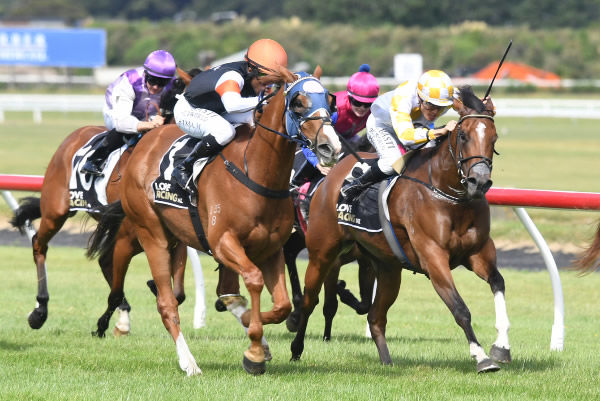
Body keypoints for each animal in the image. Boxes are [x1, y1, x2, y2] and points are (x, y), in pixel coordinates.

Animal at [9, 68, 192, 332]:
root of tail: (71, 137)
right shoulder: (134, 233)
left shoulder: (174, 237)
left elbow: (178, 293)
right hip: (56, 211)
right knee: (39, 245)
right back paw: (39, 310)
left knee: (105, 262)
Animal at [88, 67, 342, 374]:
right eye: (298, 103)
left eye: (330, 101)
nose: (330, 146)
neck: (256, 173)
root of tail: (143, 145)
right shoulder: (223, 242)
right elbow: (253, 279)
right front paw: (253, 347)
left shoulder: (271, 249)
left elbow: (281, 305)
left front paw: (252, 328)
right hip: (151, 234)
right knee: (165, 302)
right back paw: (189, 363)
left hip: (174, 237)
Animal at [290, 86, 510, 374]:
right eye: (463, 135)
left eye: (494, 137)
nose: (479, 182)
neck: (449, 196)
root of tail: (331, 176)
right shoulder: (433, 257)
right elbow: (460, 309)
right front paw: (481, 357)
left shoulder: (478, 252)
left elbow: (498, 282)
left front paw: (502, 346)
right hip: (322, 252)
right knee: (309, 300)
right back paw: (296, 347)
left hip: (387, 267)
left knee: (375, 316)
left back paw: (386, 361)